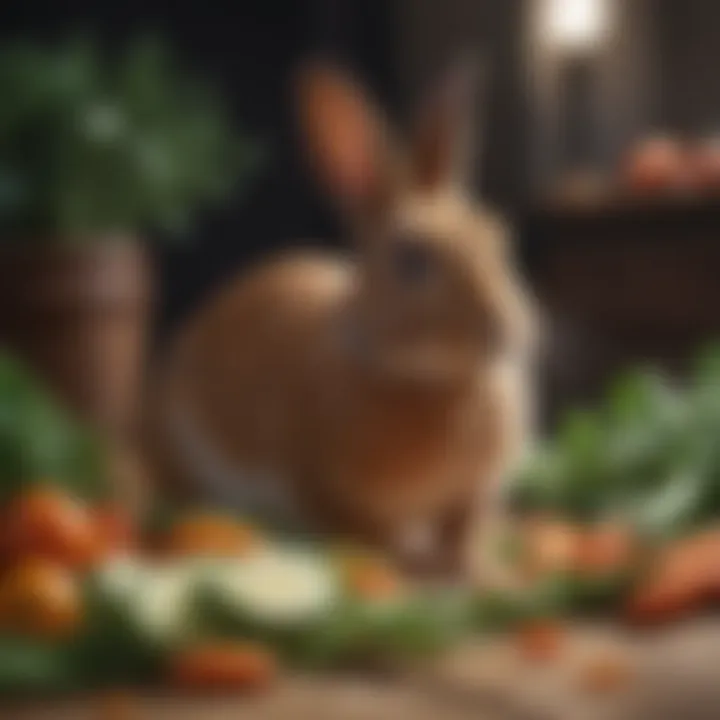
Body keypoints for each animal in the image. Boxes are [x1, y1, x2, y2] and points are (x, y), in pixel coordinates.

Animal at [146, 57, 536, 584]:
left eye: (495, 236)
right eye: (411, 259)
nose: (504, 328)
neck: (430, 381)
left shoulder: (473, 492)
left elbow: (463, 529)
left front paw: (481, 573)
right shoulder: (321, 486)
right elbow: (371, 535)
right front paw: (411, 566)